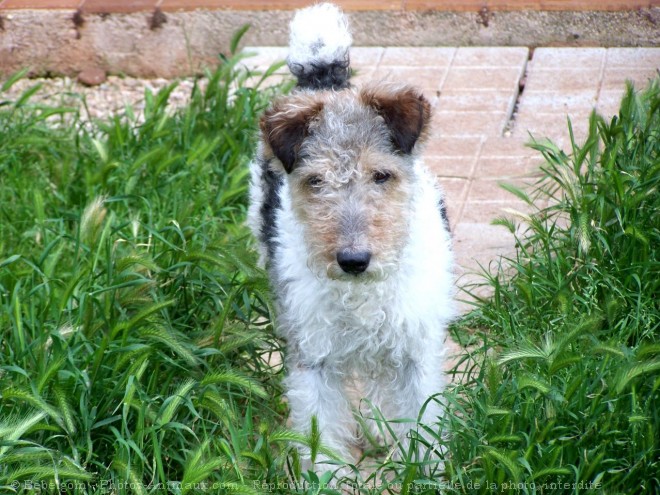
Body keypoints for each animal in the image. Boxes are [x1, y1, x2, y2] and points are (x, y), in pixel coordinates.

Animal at [248, 2, 454, 468]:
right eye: (316, 181)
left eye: (382, 175)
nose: (353, 261)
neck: (360, 296)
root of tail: (323, 81)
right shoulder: (315, 356)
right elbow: (319, 435)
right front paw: (325, 476)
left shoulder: (414, 350)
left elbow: (424, 421)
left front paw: (427, 471)